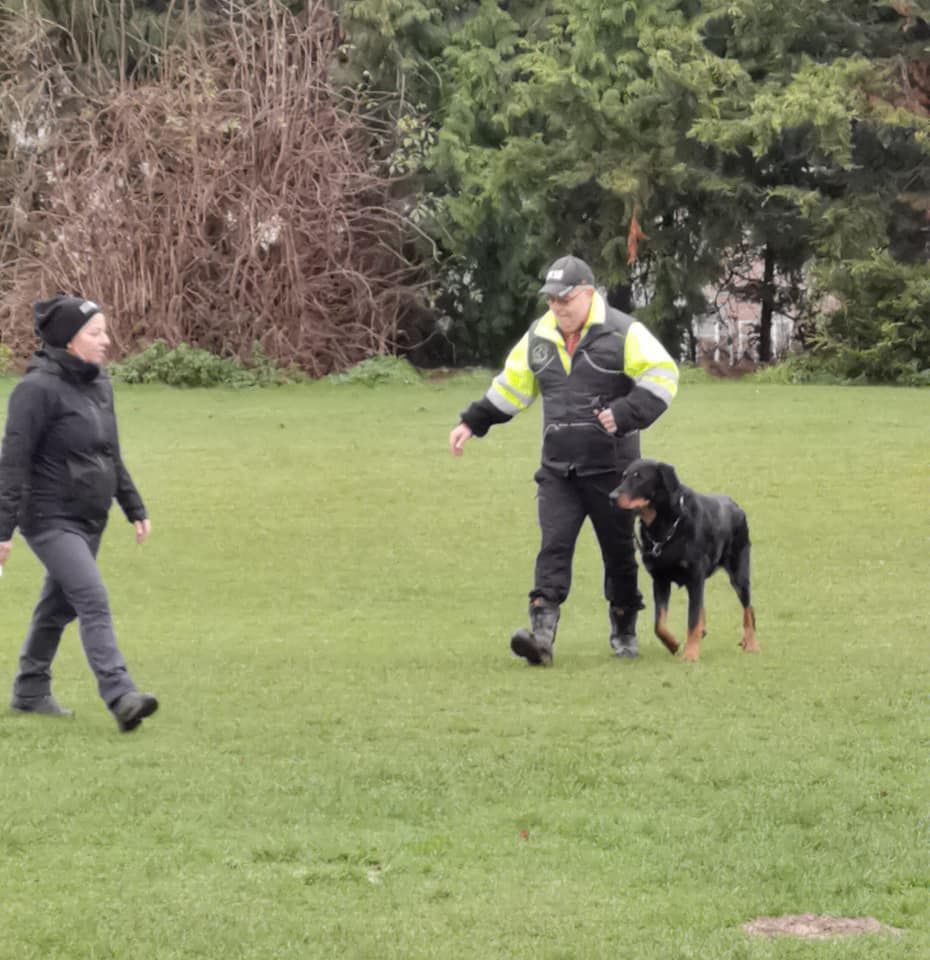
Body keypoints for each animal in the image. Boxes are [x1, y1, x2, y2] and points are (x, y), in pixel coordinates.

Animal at [608, 460, 752, 660]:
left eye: (639, 478)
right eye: (624, 476)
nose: (611, 497)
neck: (664, 526)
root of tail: (735, 504)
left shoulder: (695, 577)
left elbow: (692, 619)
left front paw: (690, 654)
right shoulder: (660, 580)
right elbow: (659, 624)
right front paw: (673, 644)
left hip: (739, 573)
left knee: (748, 609)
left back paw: (752, 644)